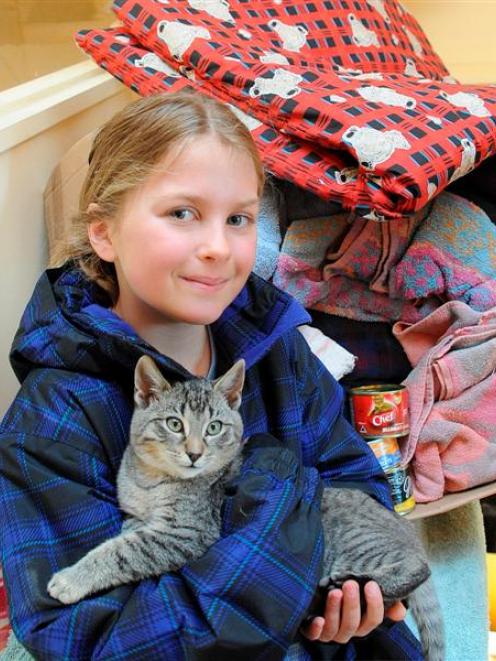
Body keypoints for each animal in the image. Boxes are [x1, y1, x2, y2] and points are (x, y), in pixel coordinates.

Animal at [48, 356, 444, 660]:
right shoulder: (136, 514)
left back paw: (353, 580)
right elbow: (126, 534)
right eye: (174, 424)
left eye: (213, 428)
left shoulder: (187, 533)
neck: (153, 478)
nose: (194, 453)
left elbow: (122, 552)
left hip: (359, 545)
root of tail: (405, 531)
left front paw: (72, 578)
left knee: (417, 568)